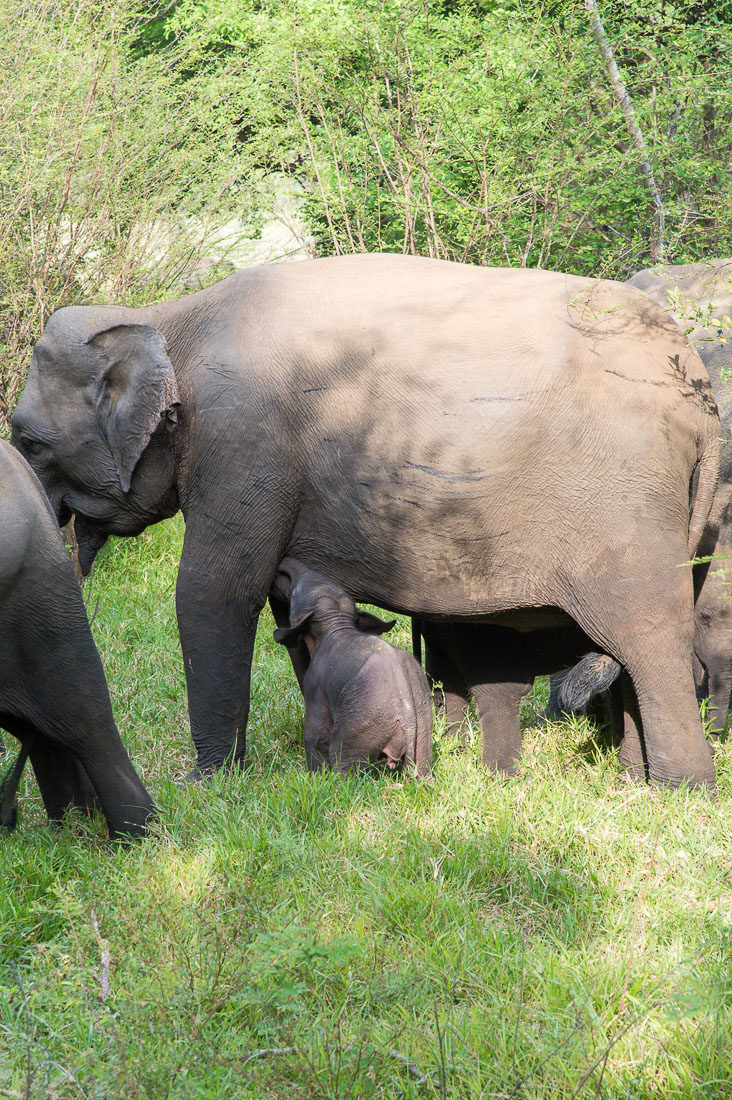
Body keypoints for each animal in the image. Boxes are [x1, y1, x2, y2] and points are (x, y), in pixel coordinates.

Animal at [269, 558, 431, 774]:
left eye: (294, 594)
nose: (284, 563)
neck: (337, 622)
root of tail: (407, 718)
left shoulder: (315, 683)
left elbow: (316, 737)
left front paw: (316, 775)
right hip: (423, 726)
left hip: (361, 724)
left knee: (344, 760)